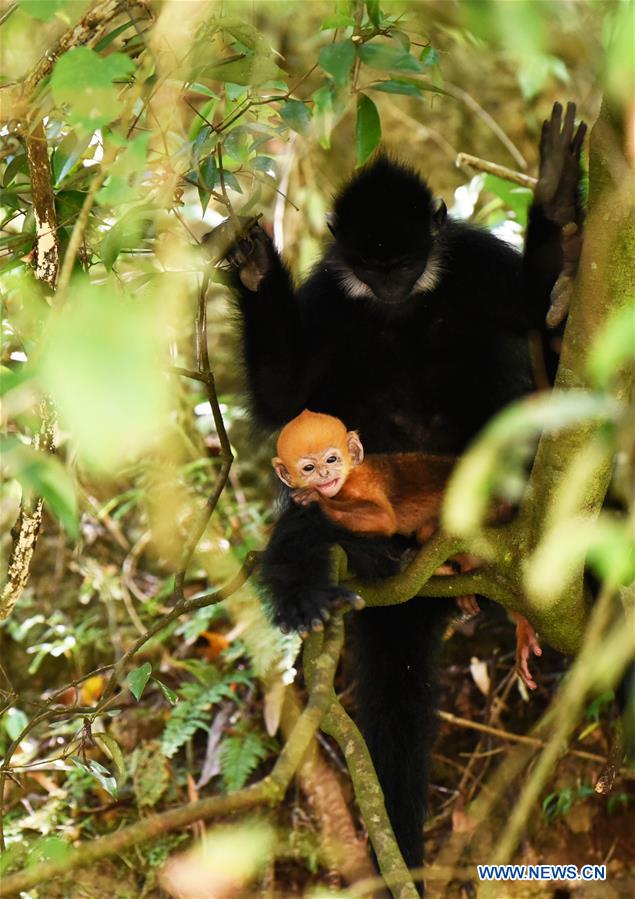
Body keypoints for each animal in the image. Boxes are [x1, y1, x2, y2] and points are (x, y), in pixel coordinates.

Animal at [274, 412, 540, 692]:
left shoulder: (361, 484)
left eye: (331, 459)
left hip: (491, 509)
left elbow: (383, 519)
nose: (324, 474)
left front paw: (318, 500)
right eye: (309, 468)